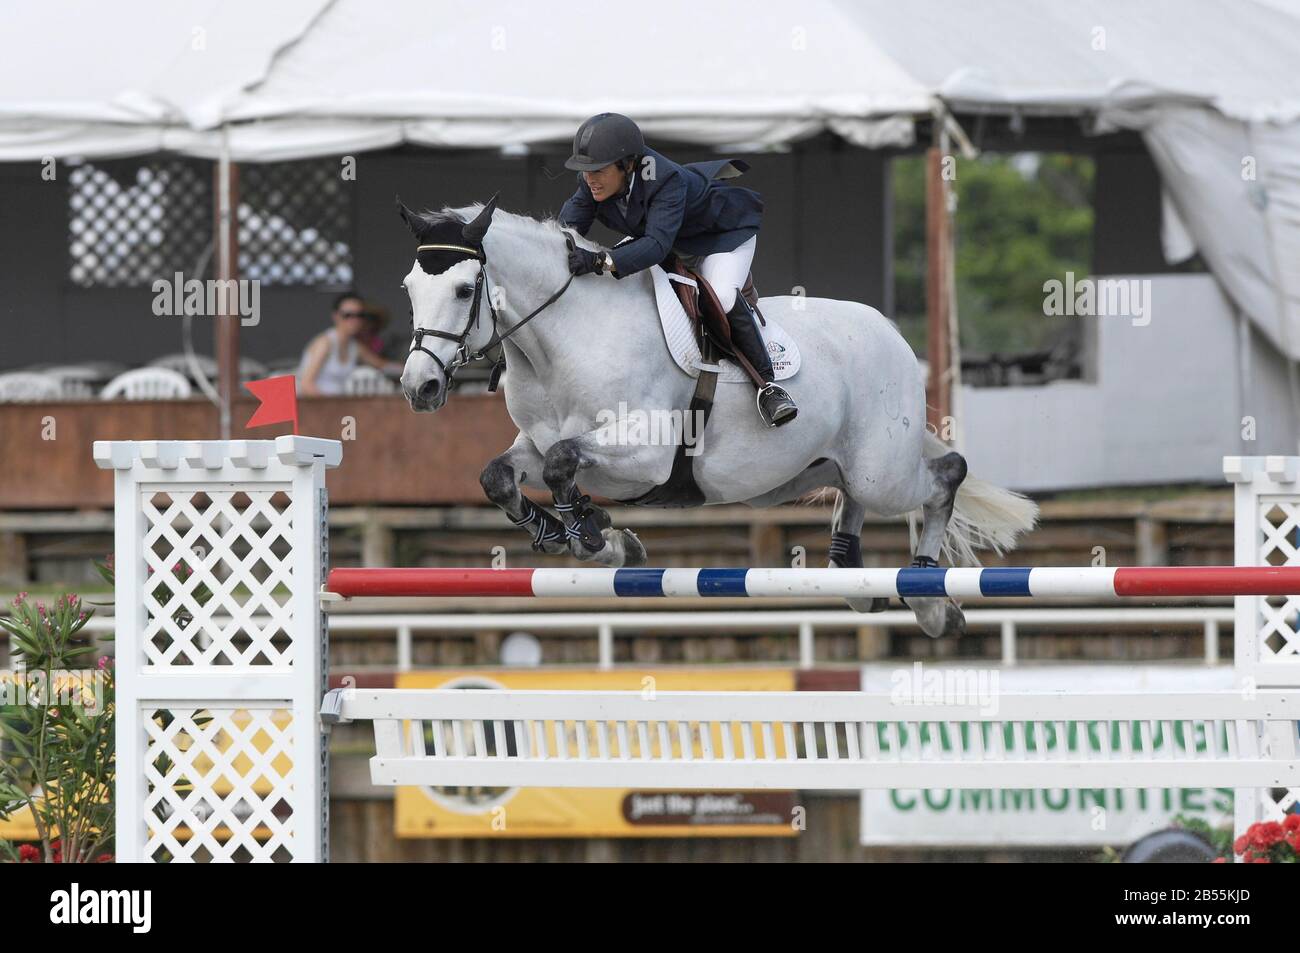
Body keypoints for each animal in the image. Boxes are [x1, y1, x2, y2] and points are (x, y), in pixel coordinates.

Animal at [395, 198, 1034, 639]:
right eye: (409, 288)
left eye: (463, 289)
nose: (418, 388)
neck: (563, 341)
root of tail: (891, 333)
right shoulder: (534, 438)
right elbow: (501, 475)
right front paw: (585, 538)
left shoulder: (645, 453)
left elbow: (560, 464)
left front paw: (601, 538)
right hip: (821, 468)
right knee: (852, 496)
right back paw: (855, 579)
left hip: (884, 470)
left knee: (946, 474)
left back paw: (928, 599)